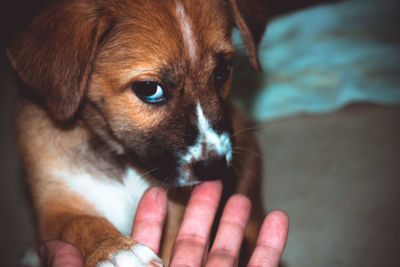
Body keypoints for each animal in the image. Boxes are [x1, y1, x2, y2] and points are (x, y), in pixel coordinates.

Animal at [6, 0, 268, 266]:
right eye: (149, 88)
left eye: (222, 71)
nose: (214, 168)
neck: (123, 161)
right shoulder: (55, 208)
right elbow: (79, 223)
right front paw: (114, 249)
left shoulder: (177, 209)